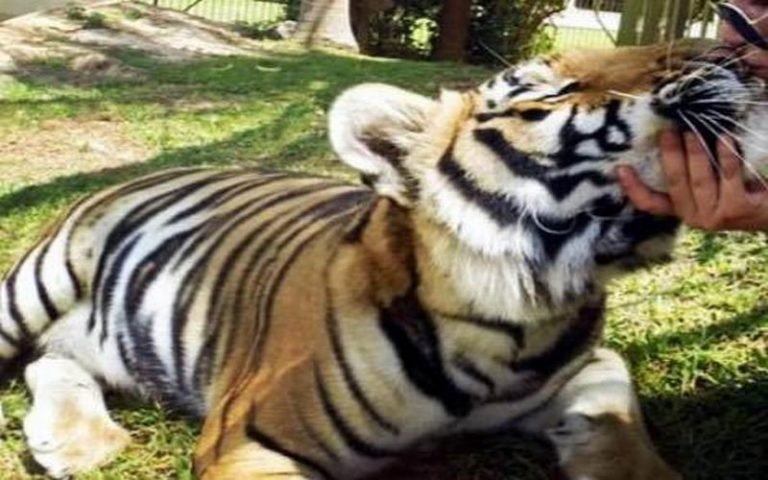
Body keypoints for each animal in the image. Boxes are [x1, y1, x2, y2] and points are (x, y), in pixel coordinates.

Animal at [0, 40, 766, 480]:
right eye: (549, 91)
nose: (720, 51)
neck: (522, 319)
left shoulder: (590, 366)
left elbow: (619, 430)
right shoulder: (253, 438)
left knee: (51, 359)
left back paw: (75, 440)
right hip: (40, 281)